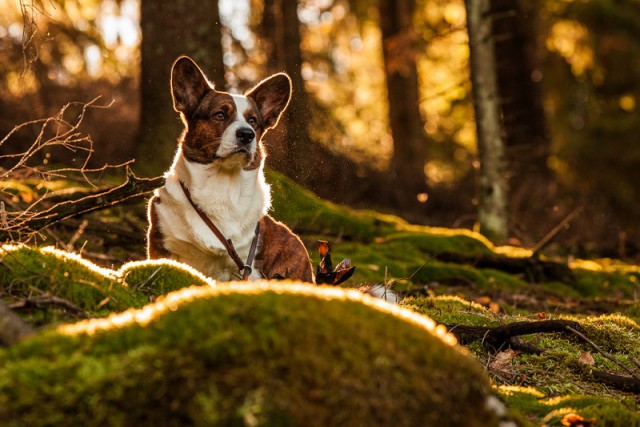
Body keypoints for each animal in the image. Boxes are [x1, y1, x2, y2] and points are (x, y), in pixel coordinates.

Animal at [146, 56, 316, 284]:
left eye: (253, 121)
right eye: (219, 115)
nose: (247, 134)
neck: (222, 182)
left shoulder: (247, 263)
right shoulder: (164, 245)